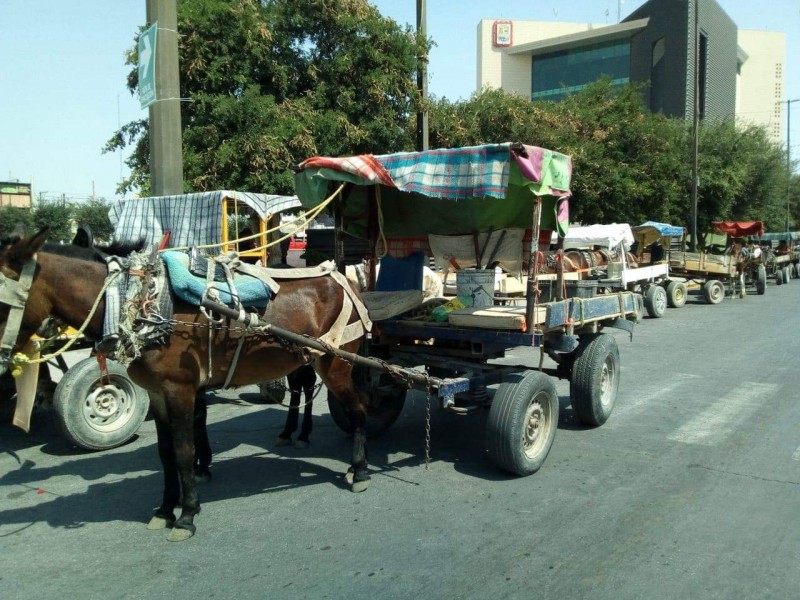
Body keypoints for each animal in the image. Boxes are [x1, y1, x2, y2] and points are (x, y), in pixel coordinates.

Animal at [0, 227, 374, 540]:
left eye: (2, 303)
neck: (139, 304)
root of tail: (343, 280)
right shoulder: (157, 393)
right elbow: (165, 454)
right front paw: (166, 509)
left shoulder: (179, 389)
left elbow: (183, 452)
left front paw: (187, 515)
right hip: (305, 357)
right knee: (312, 389)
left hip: (337, 363)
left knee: (358, 407)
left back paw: (359, 470)